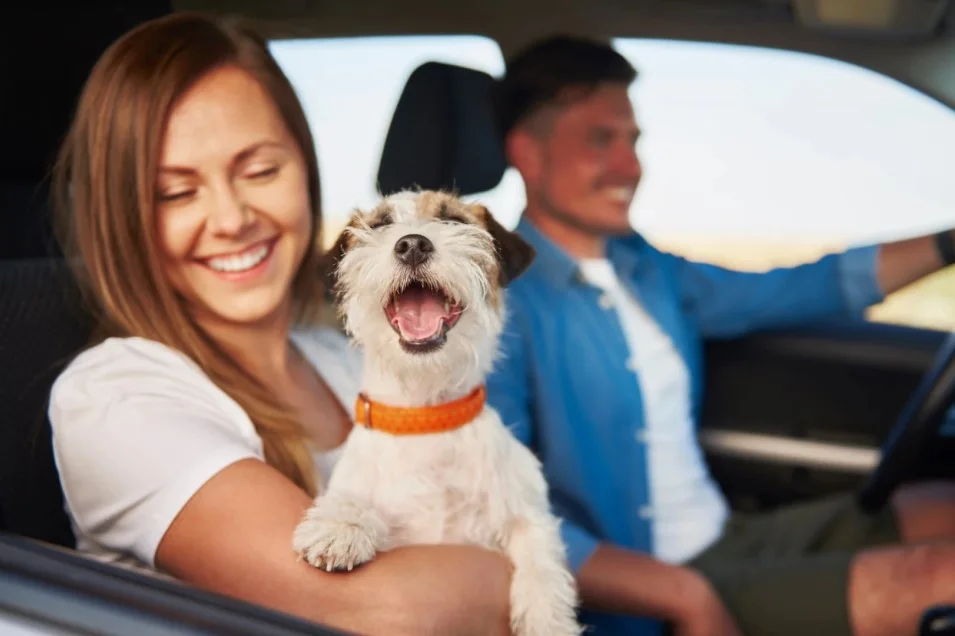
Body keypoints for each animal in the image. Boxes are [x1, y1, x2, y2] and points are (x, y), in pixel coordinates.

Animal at [292, 190, 580, 636]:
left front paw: (546, 618)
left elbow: (540, 554)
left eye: (453, 221)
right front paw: (341, 526)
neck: (424, 417)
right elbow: (354, 496)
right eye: (380, 224)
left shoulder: (526, 513)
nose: (412, 244)